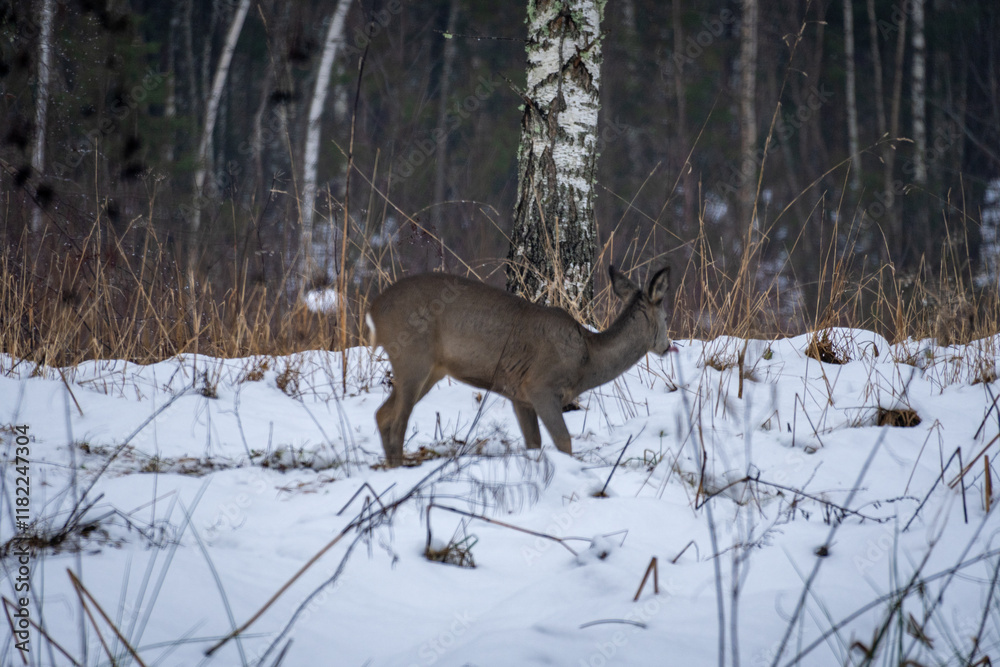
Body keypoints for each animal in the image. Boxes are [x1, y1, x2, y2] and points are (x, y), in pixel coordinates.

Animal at [365, 265, 674, 467]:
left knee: (382, 414)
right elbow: (564, 441)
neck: (587, 358)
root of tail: (374, 310)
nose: (666, 346)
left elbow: (534, 444)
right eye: (665, 317)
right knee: (398, 421)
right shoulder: (541, 386)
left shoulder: (519, 396)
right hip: (413, 357)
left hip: (431, 370)